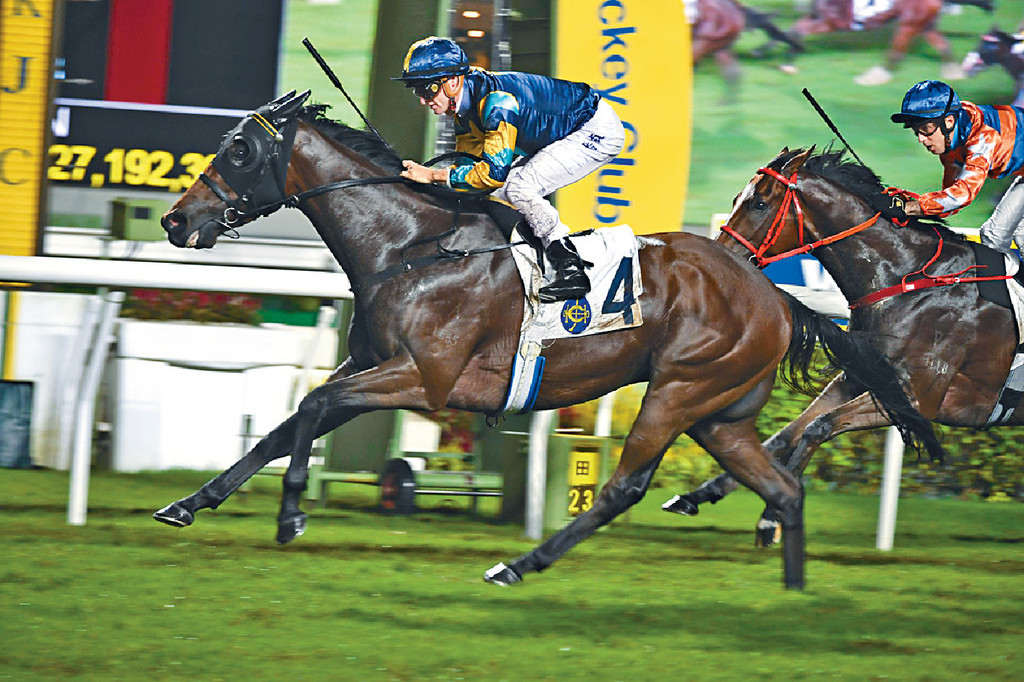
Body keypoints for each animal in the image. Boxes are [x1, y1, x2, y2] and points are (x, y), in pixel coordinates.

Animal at [153, 91, 937, 590]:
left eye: (241, 150)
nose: (173, 220)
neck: (411, 246)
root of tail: (772, 292)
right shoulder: (371, 363)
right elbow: (286, 423)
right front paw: (187, 504)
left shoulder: (423, 378)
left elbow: (312, 408)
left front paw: (290, 516)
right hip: (720, 413)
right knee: (784, 488)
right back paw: (793, 592)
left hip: (679, 389)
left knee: (623, 486)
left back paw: (518, 565)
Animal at [664, 147, 1017, 546]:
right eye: (736, 199)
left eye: (758, 203)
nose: (717, 259)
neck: (907, 279)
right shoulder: (864, 376)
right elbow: (786, 434)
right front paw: (695, 496)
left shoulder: (919, 400)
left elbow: (819, 426)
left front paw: (772, 518)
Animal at [777, 0, 991, 86]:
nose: (991, 5)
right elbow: (794, 31)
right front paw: (787, 63)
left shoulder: (831, 23)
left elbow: (796, 32)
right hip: (922, 24)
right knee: (942, 45)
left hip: (909, 24)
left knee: (896, 51)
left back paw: (874, 76)